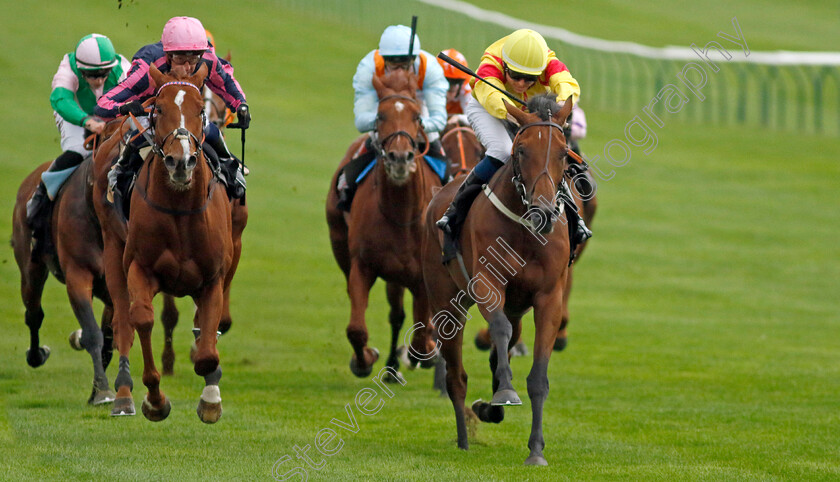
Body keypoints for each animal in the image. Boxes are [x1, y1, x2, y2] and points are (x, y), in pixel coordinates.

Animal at [10, 131, 120, 402]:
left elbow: (109, 337)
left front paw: (98, 389)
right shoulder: (77, 275)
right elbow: (93, 333)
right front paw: (102, 391)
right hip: (31, 268)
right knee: (34, 314)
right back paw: (36, 355)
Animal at [92, 65, 233, 422]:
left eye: (200, 111)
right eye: (157, 109)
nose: (180, 161)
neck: (180, 209)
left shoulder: (213, 278)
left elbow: (208, 350)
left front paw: (210, 399)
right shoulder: (139, 267)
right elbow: (141, 319)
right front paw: (155, 401)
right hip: (112, 247)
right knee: (122, 319)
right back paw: (123, 395)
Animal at [326, 69, 442, 380]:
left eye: (417, 116)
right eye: (380, 115)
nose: (400, 158)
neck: (401, 215)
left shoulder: (421, 278)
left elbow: (422, 331)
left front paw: (423, 353)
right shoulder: (362, 265)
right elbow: (356, 328)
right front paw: (364, 360)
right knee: (395, 314)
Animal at [420, 92, 576, 466]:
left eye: (564, 153)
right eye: (521, 151)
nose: (543, 212)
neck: (526, 231)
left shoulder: (549, 297)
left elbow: (537, 377)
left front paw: (536, 450)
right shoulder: (488, 283)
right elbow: (499, 331)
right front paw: (505, 391)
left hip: (517, 306)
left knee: (500, 347)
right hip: (446, 301)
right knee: (457, 376)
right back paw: (464, 438)